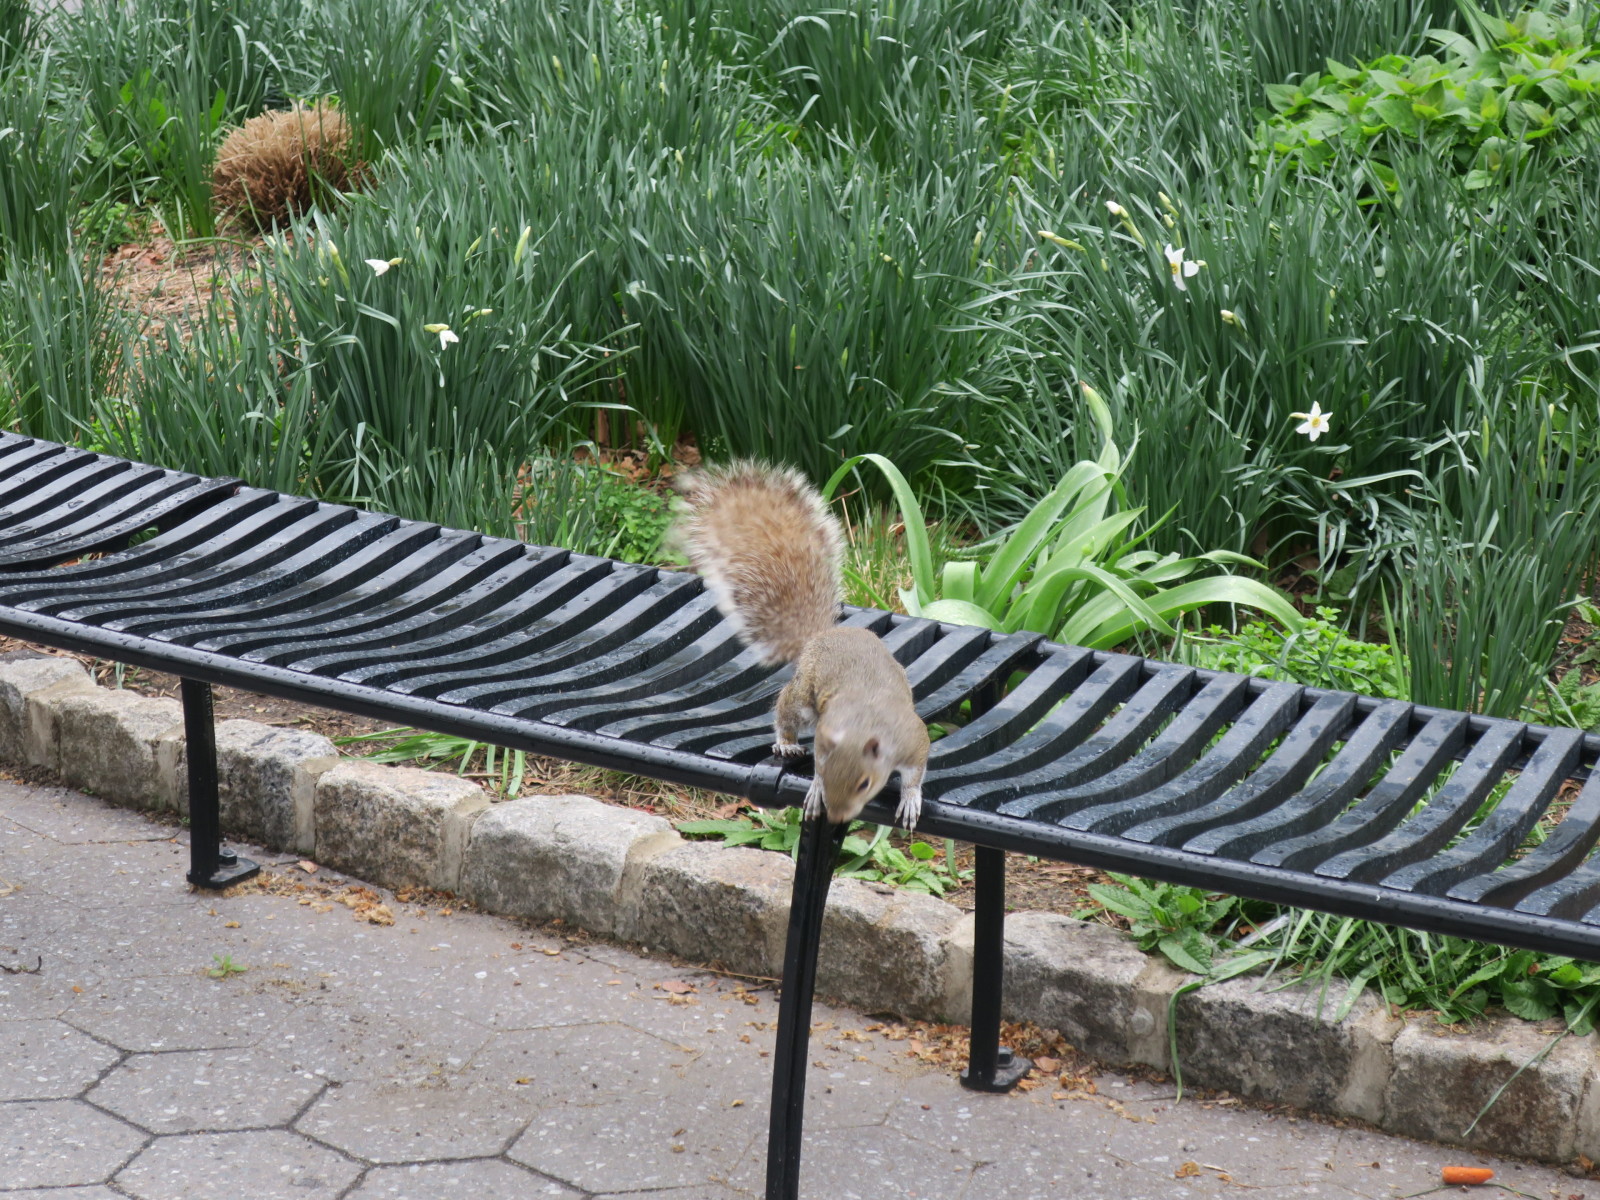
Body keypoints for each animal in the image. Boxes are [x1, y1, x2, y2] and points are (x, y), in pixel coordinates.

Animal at [673, 460, 930, 830]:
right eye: (825, 771)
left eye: (864, 783)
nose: (837, 816)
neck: (863, 723)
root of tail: (823, 636)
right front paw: (817, 789)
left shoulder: (913, 740)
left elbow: (916, 773)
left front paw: (910, 798)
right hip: (804, 698)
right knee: (785, 708)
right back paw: (786, 743)